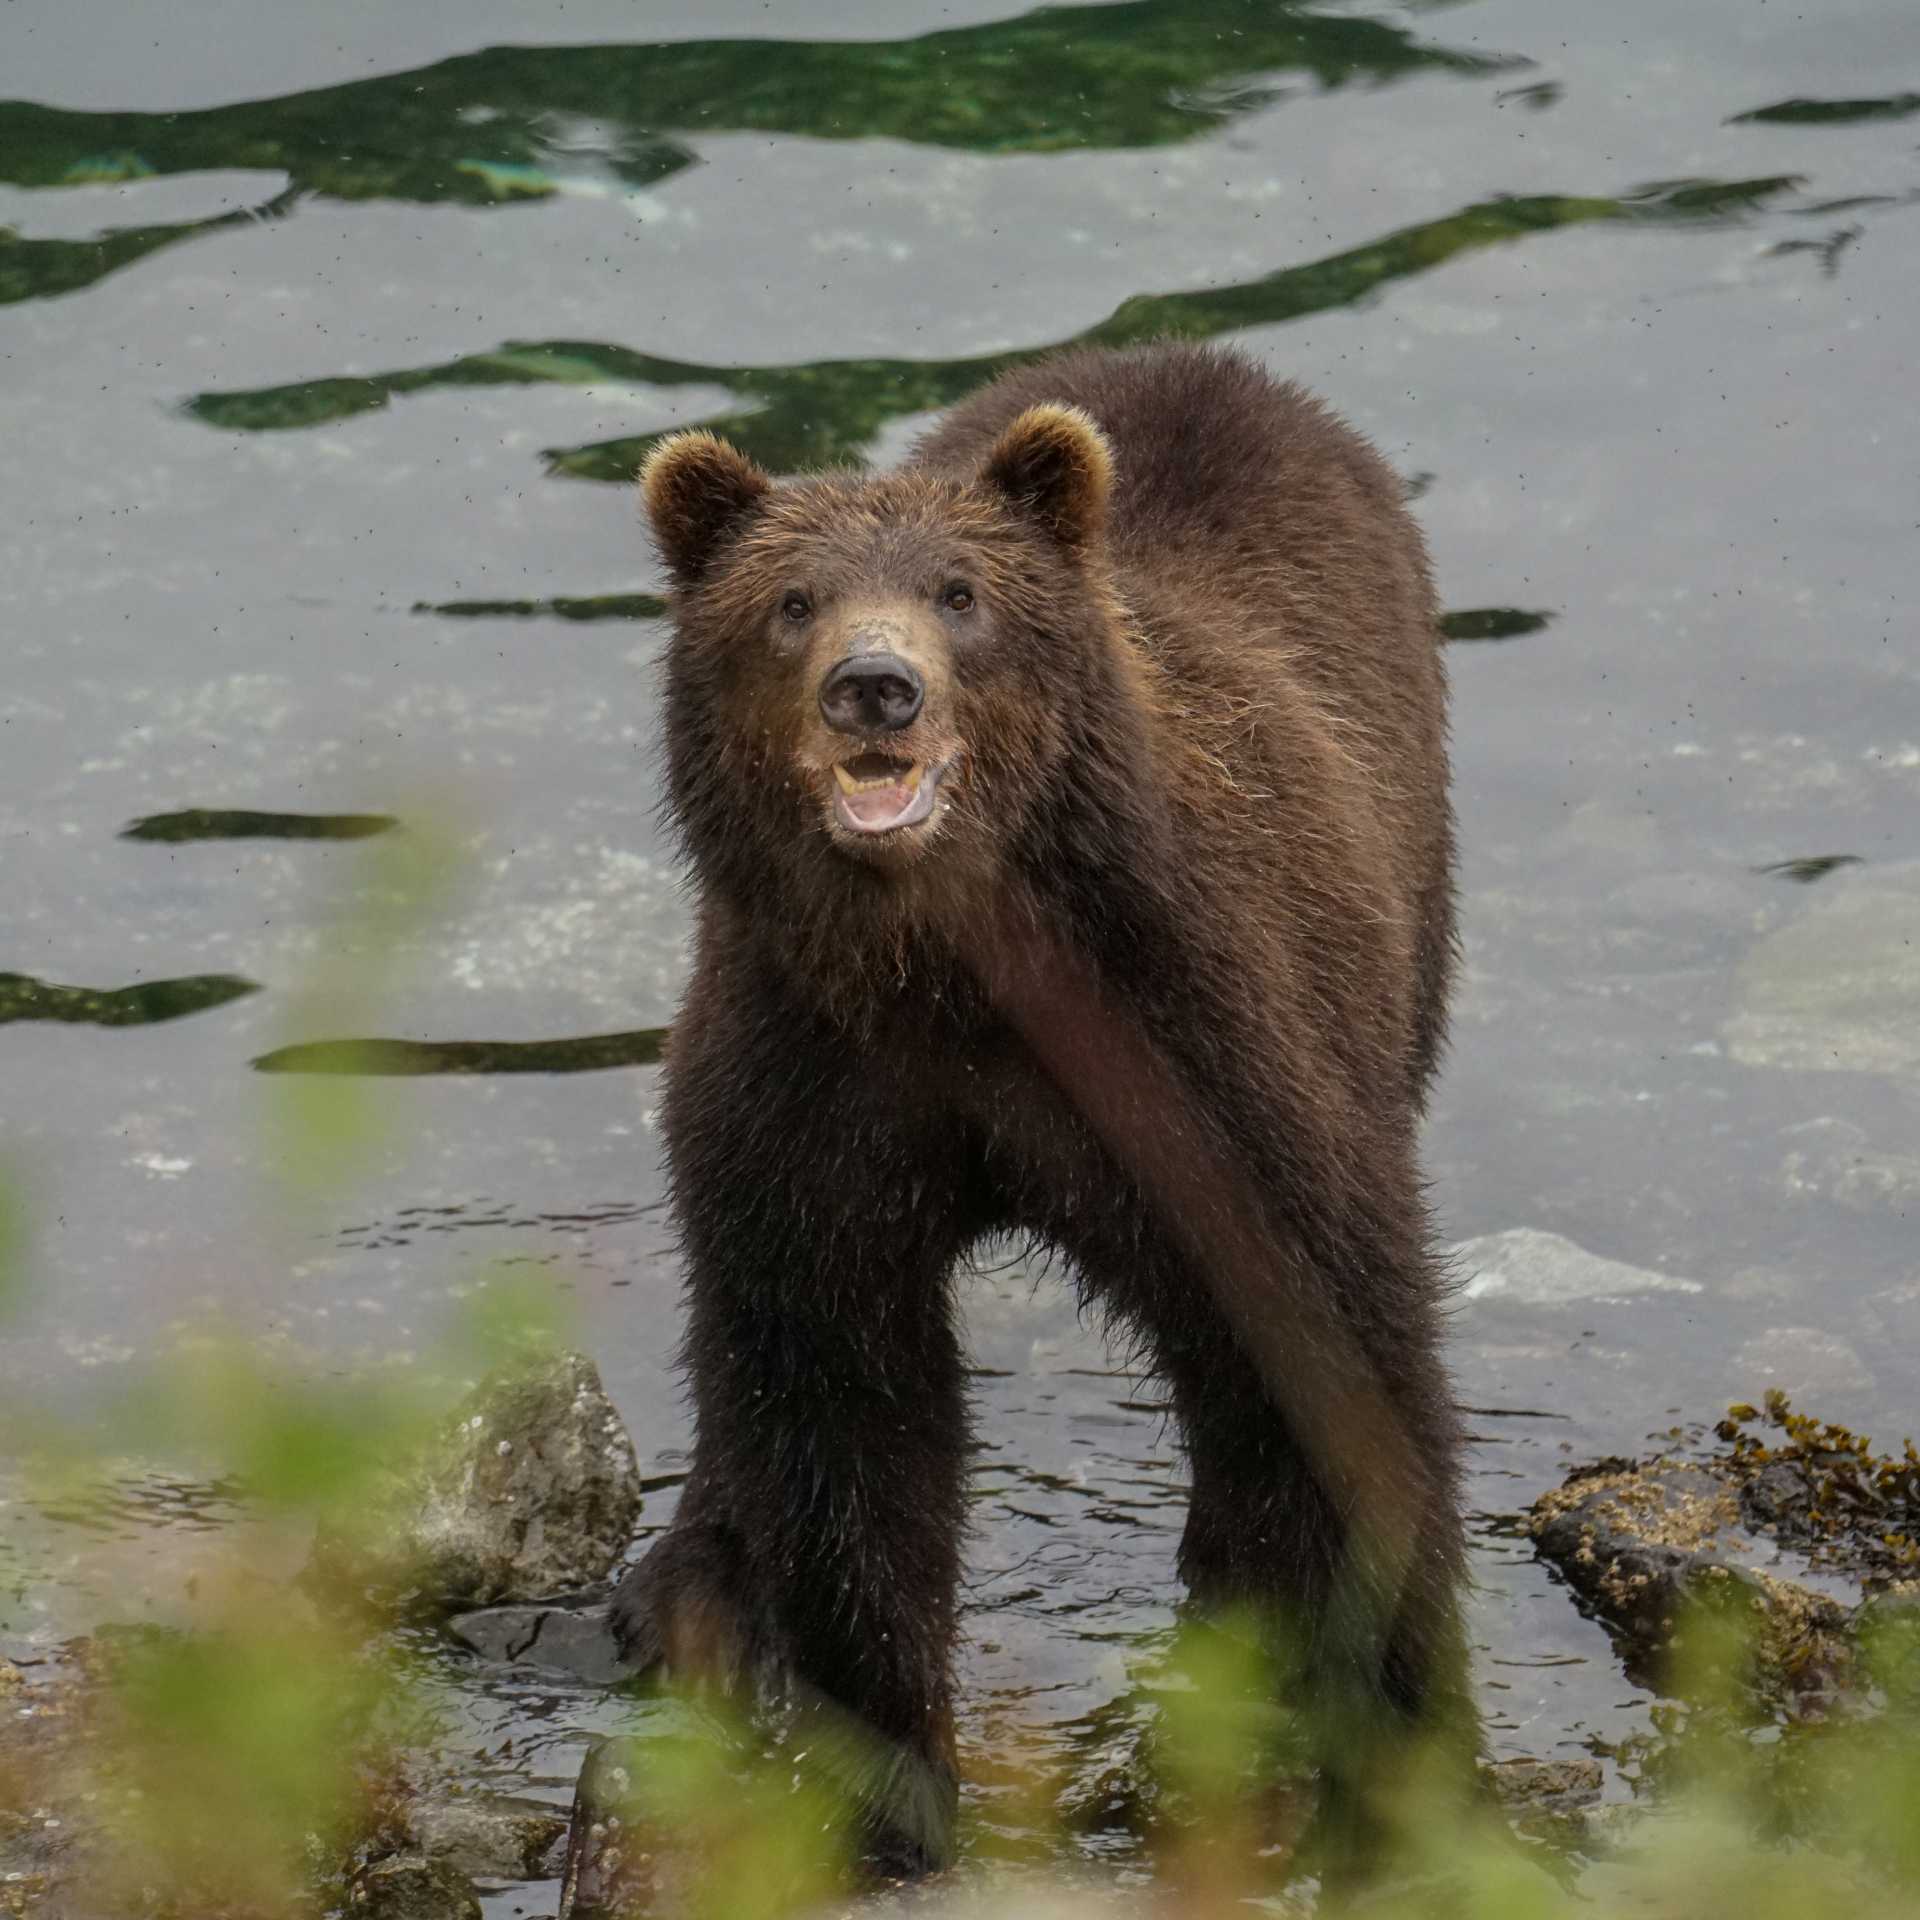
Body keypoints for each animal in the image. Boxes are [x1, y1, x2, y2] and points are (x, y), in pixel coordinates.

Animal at [609, 341, 1469, 1877]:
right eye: (790, 602)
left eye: (961, 591)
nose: (874, 687)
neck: (949, 968)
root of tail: (1203, 360)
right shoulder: (811, 1081)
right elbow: (841, 1394)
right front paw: (889, 1780)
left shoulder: (1197, 1048)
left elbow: (1335, 1350)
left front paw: (1400, 1727)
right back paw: (690, 1589)